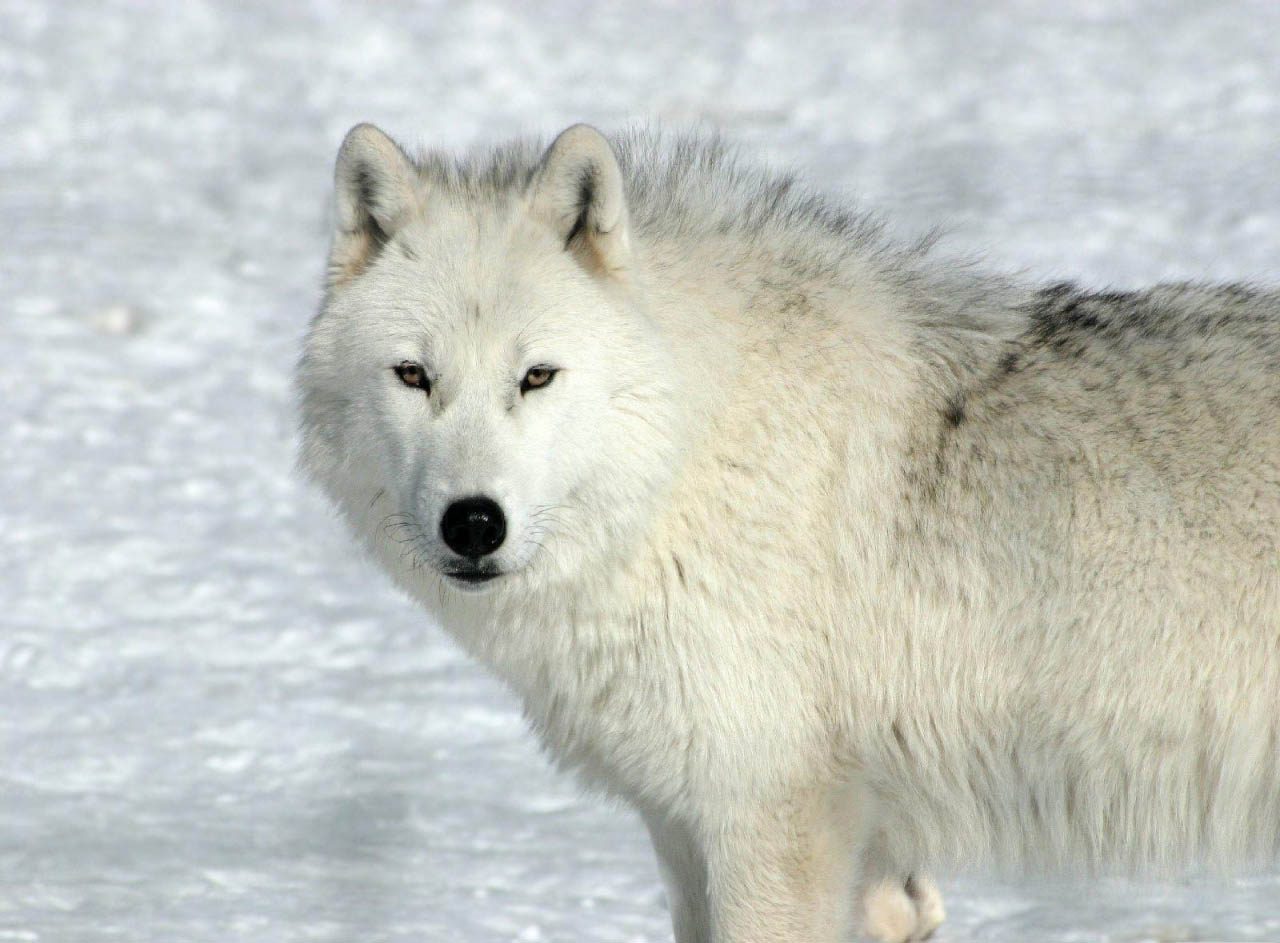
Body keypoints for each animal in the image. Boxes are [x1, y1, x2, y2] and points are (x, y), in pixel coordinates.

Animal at [296, 122, 1280, 942]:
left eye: (536, 376)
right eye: (414, 375)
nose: (472, 522)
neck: (691, 456)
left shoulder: (769, 822)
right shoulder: (701, 832)